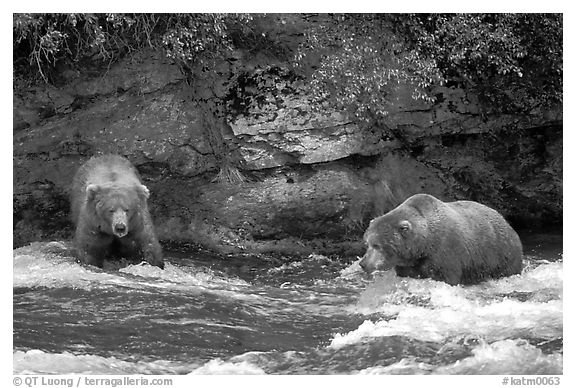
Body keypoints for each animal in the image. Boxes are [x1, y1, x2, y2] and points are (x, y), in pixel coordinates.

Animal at [362, 193, 524, 284]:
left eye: (377, 245)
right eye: (367, 243)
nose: (363, 263)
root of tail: (506, 222)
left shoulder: (446, 253)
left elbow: (447, 277)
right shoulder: (410, 264)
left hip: (501, 253)